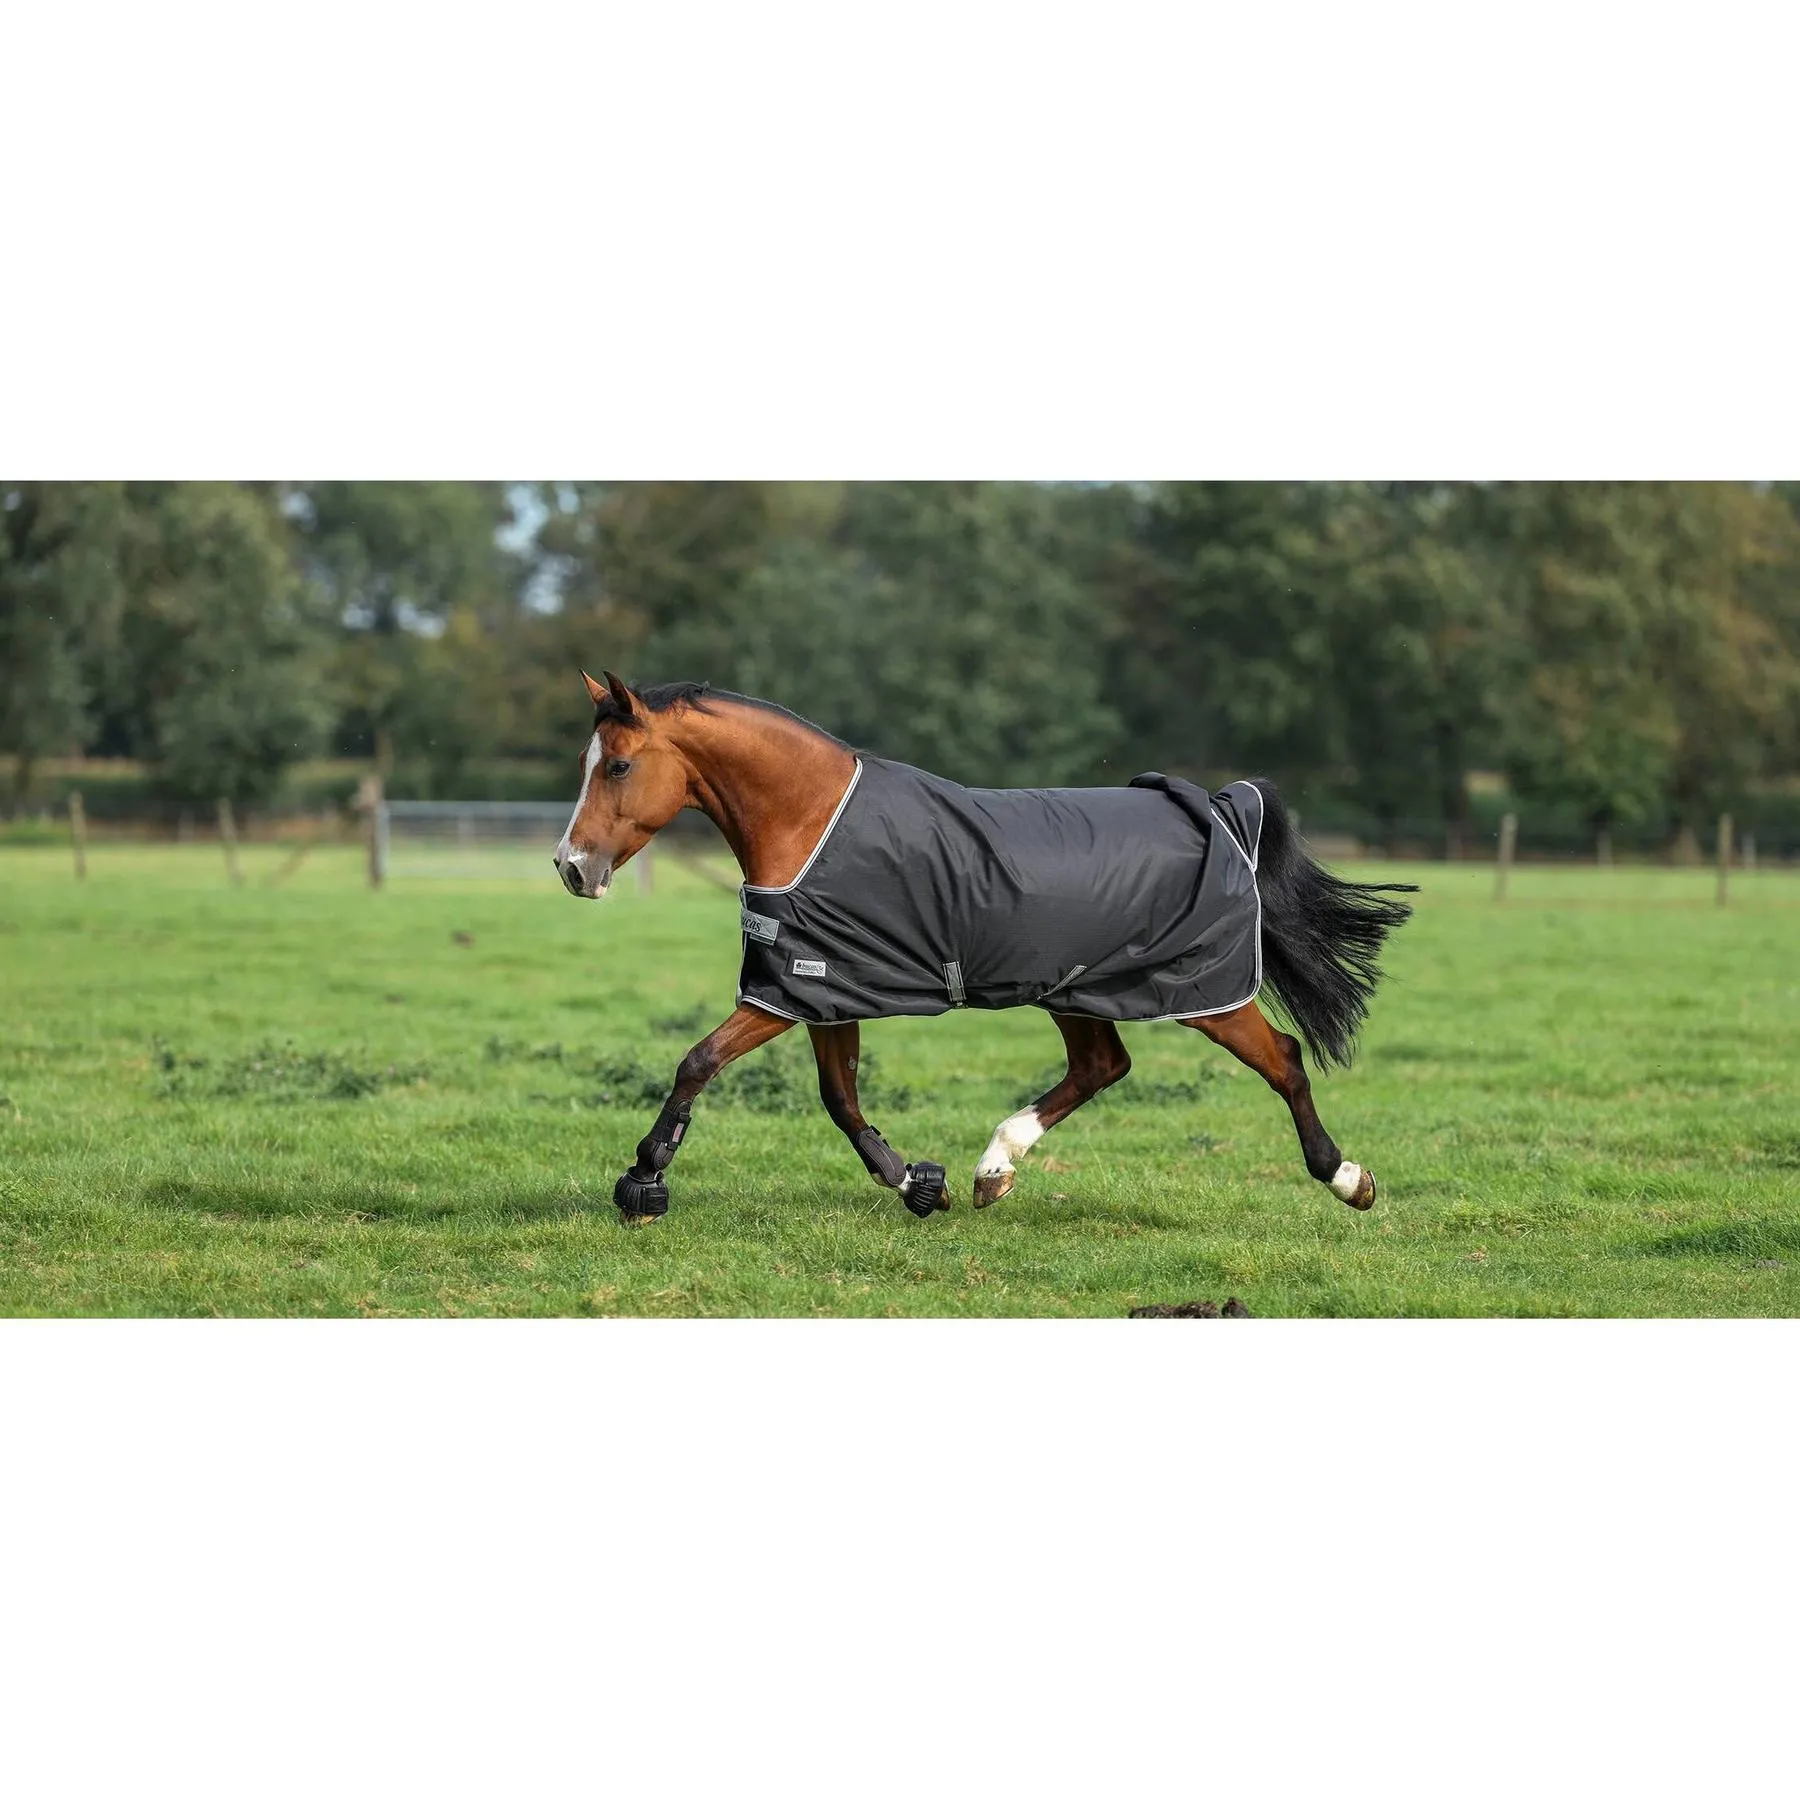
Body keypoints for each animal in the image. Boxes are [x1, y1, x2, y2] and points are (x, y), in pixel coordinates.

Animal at [553, 670, 1415, 1226]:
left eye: (620, 764)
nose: (571, 868)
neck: (811, 820)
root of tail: (1221, 810)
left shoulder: (788, 993)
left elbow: (698, 1060)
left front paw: (643, 1179)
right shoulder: (821, 985)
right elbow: (841, 1099)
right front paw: (916, 1185)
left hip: (1204, 995)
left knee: (1284, 1061)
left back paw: (1347, 1178)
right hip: (1075, 989)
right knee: (1102, 1066)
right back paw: (992, 1169)